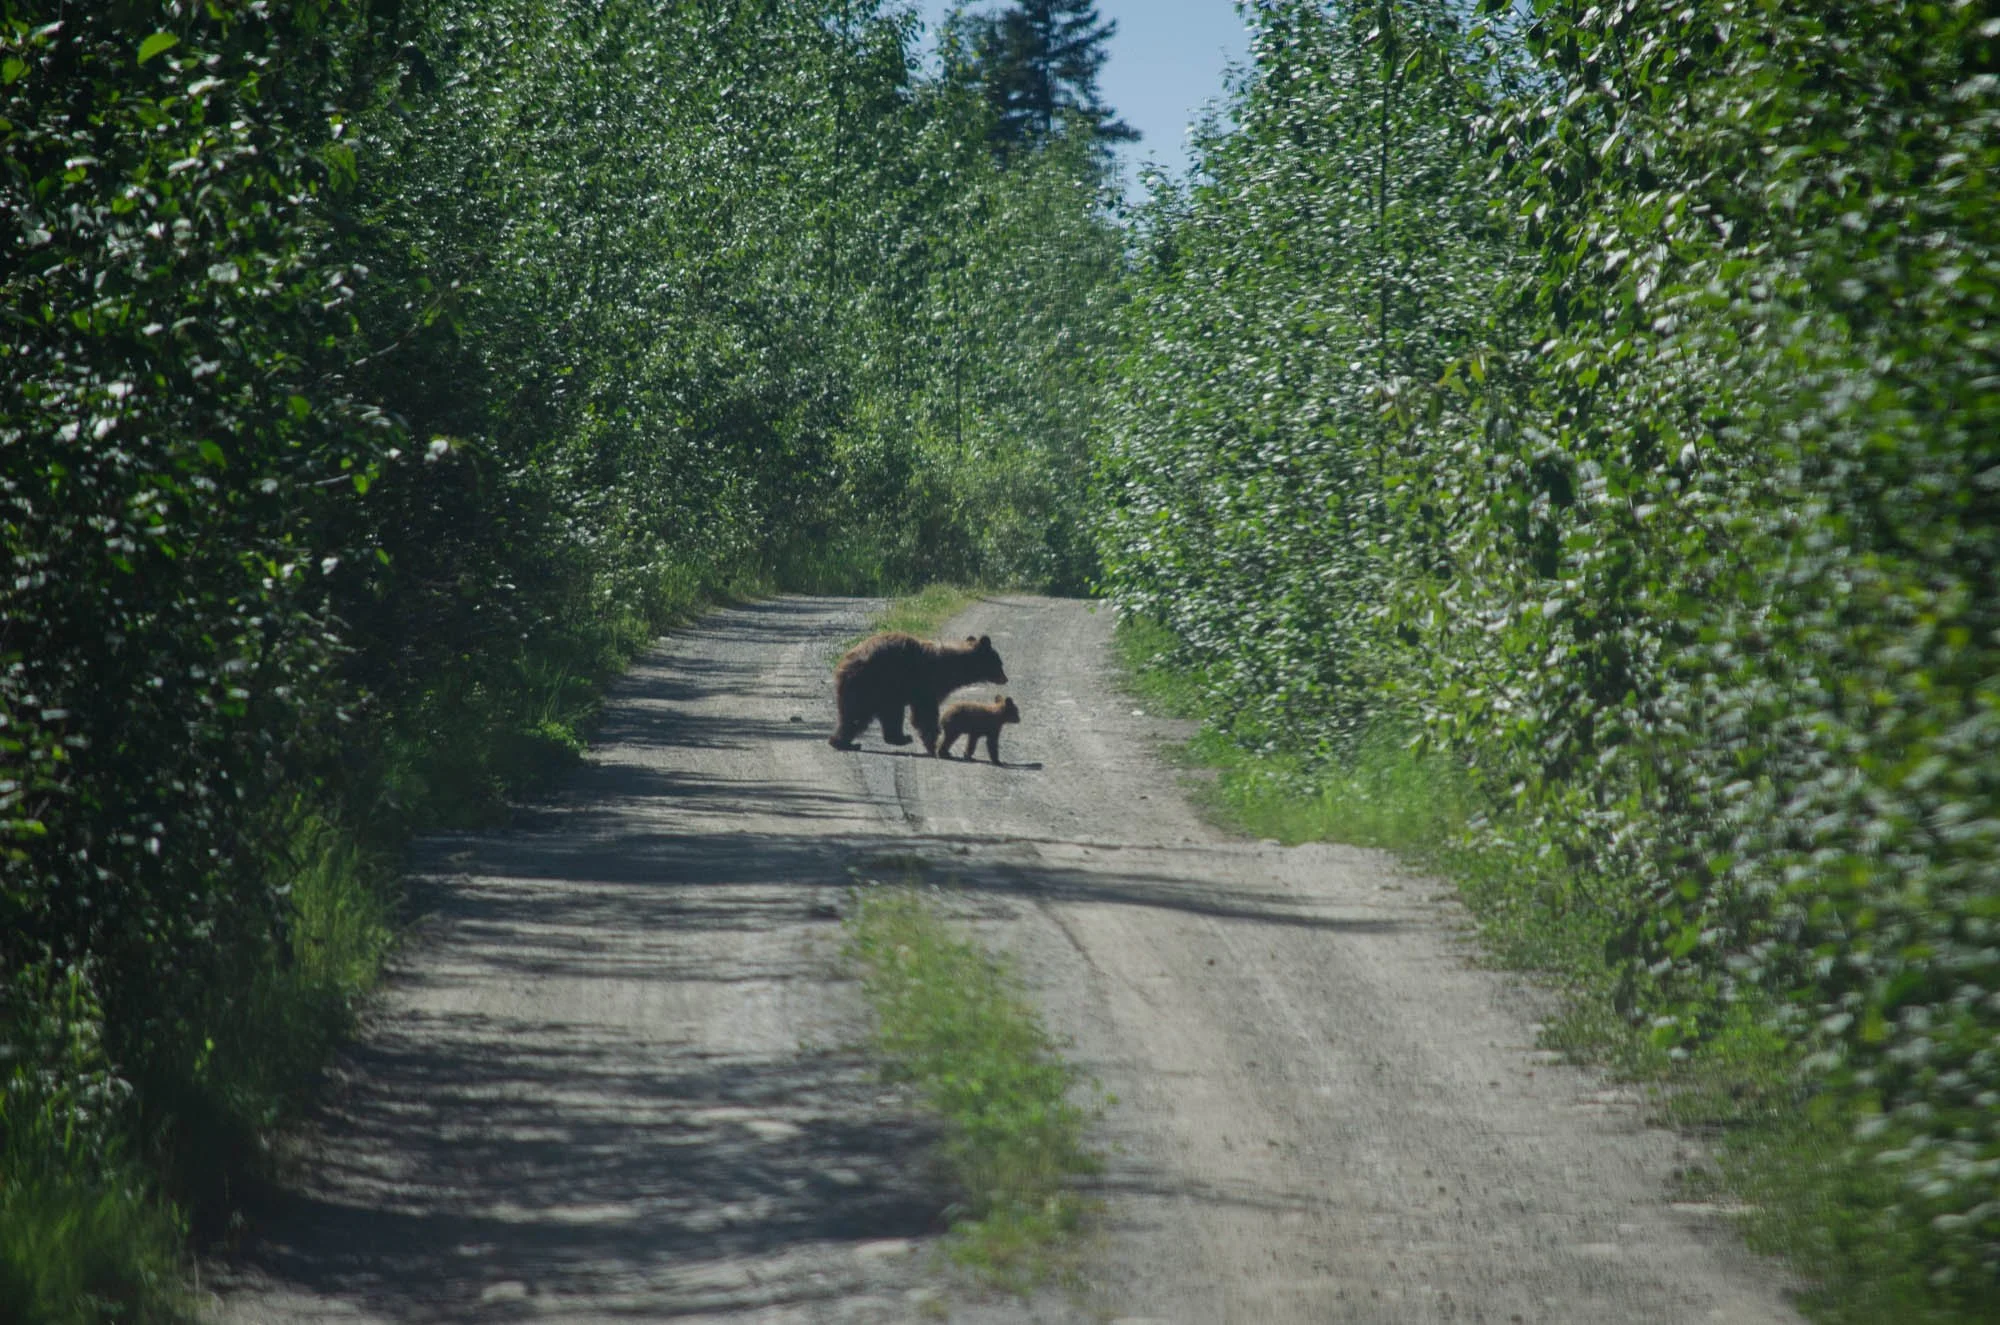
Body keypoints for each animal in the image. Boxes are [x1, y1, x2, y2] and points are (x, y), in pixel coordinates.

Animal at [828, 632, 1007, 755]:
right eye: (999, 663)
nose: (1005, 678)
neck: (952, 668)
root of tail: (843, 664)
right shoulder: (926, 685)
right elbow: (925, 714)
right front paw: (932, 742)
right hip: (872, 684)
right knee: (858, 715)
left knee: (869, 715)